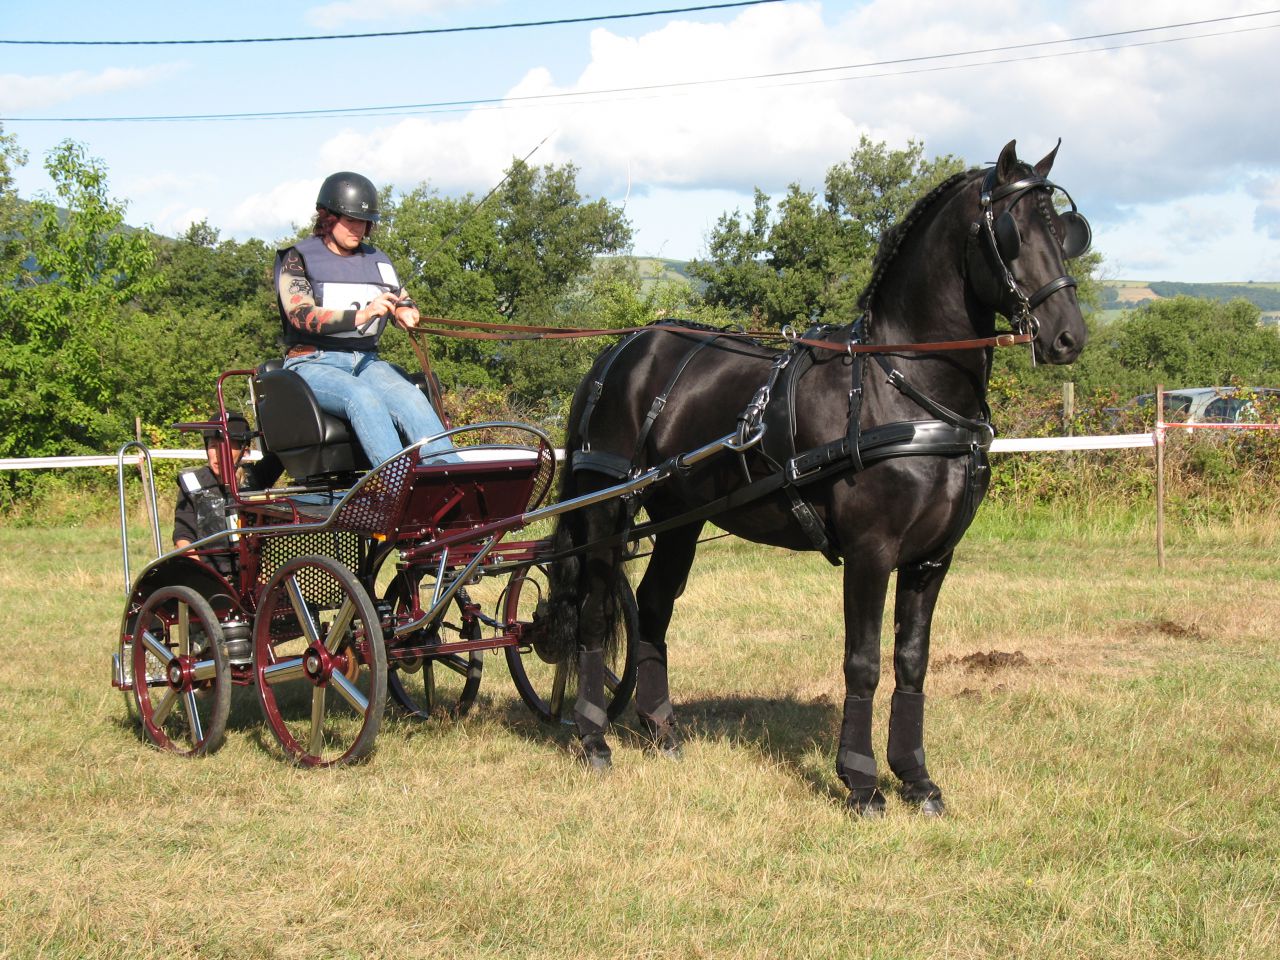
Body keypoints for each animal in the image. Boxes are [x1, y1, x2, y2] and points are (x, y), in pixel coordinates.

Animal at [532, 139, 1091, 817]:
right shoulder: (871, 551)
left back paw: (662, 729)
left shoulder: (934, 557)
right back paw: (593, 737)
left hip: (681, 520)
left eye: (1064, 232)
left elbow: (912, 662)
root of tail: (622, 351)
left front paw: (917, 778)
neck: (900, 384)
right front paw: (862, 781)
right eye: (1011, 233)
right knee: (593, 609)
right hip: (607, 508)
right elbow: (864, 662)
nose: (1068, 337)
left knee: (655, 609)